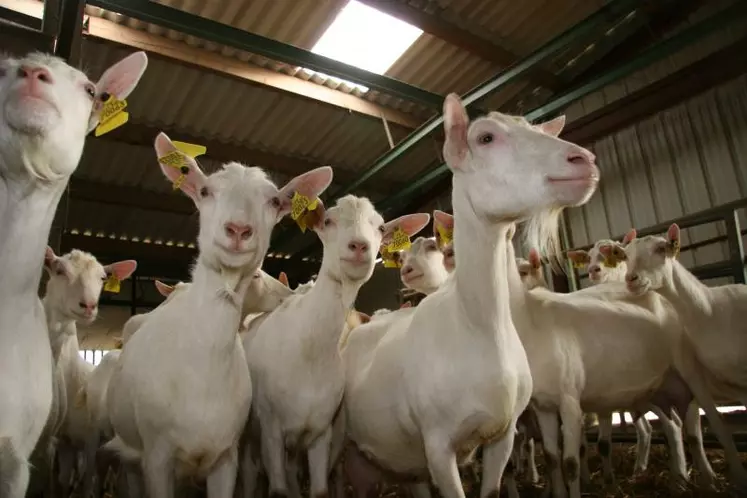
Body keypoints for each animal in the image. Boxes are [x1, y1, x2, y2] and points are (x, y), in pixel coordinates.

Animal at [104, 133, 334, 498]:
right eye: (205, 191)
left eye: (274, 202)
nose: (238, 229)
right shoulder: (157, 458)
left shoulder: (226, 456)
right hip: (131, 453)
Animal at [240, 195, 426, 498]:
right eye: (328, 221)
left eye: (381, 227)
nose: (359, 246)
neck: (309, 352)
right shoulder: (271, 430)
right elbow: (277, 489)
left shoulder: (320, 432)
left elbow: (319, 490)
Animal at [624, 224, 747, 488]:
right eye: (625, 255)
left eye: (661, 249)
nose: (631, 279)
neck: (710, 311)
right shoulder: (698, 380)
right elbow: (719, 429)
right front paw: (738, 478)